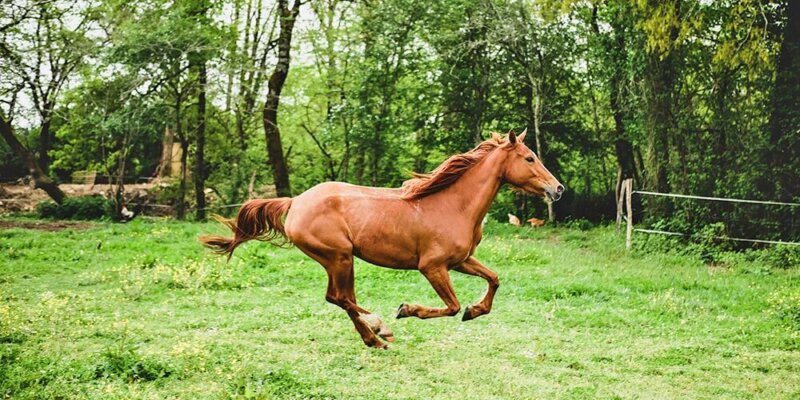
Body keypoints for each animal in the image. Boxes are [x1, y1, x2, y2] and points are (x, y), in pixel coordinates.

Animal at [200, 130, 564, 348]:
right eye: (529, 158)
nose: (557, 189)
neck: (452, 205)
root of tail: (296, 201)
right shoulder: (432, 267)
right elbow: (450, 306)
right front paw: (408, 309)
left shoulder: (460, 261)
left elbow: (494, 279)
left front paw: (475, 311)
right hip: (339, 257)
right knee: (340, 298)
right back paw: (379, 328)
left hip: (341, 261)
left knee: (341, 298)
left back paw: (373, 337)